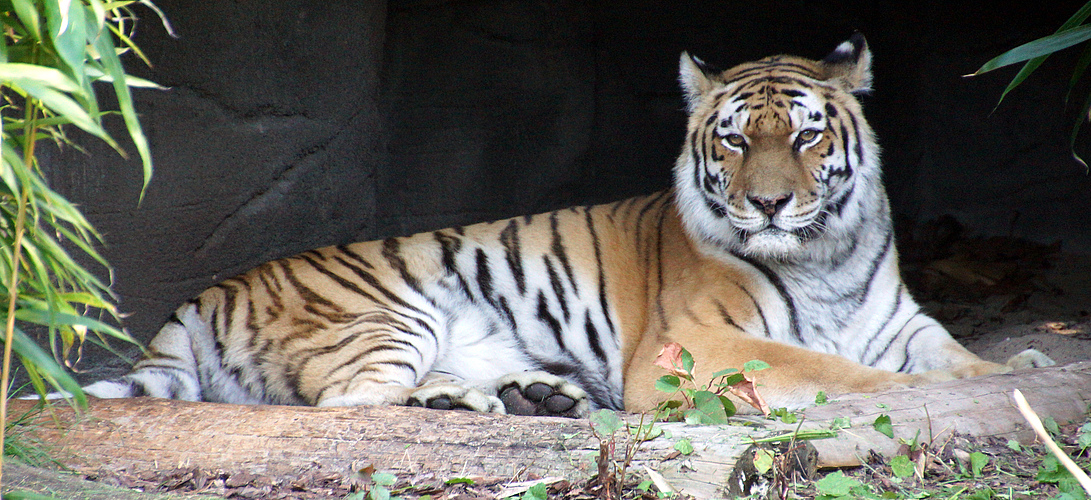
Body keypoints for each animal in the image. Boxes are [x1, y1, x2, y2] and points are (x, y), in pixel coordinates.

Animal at [70, 35, 1047, 417]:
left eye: (806, 135)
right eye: (735, 140)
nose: (769, 204)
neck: (825, 259)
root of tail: (209, 293)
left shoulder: (901, 322)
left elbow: (959, 354)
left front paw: (1022, 365)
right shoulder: (692, 345)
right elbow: (824, 368)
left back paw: (532, 397)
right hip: (387, 316)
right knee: (341, 404)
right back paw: (479, 404)